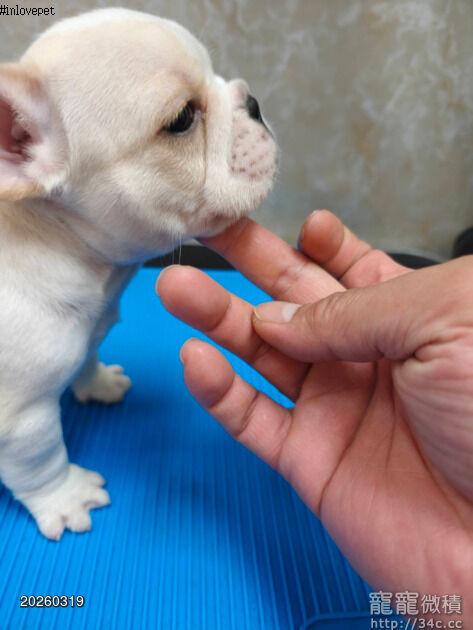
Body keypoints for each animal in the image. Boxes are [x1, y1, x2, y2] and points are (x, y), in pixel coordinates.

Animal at [0, 8, 277, 540]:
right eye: (182, 119)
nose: (254, 101)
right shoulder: (21, 419)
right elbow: (41, 460)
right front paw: (65, 497)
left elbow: (88, 355)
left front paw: (98, 383)